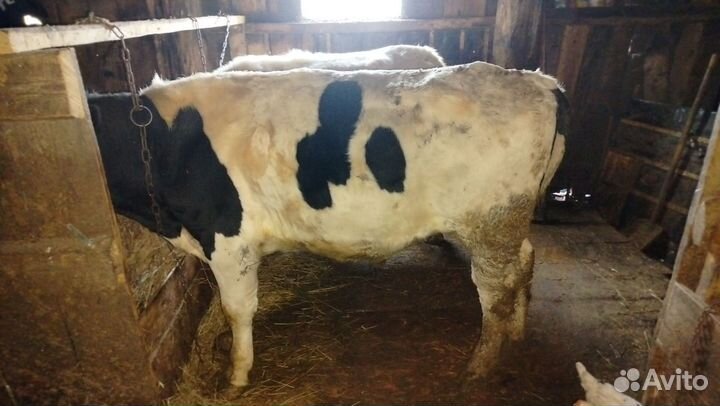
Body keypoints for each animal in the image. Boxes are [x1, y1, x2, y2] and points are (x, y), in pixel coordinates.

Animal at [88, 61, 567, 387]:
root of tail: (538, 81)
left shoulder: (228, 240)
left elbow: (237, 309)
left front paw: (237, 374)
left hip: (491, 223)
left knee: (494, 295)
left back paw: (480, 365)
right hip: (507, 223)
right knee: (525, 260)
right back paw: (517, 331)